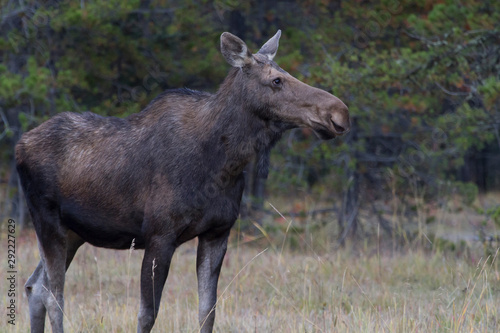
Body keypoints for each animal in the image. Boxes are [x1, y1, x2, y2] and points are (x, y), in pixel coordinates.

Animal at [16, 29, 352, 330]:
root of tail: (19, 145)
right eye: (276, 80)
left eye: (285, 73)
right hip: (47, 221)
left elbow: (208, 312)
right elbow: (147, 315)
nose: (340, 112)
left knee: (35, 286)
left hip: (74, 232)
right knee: (53, 296)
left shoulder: (218, 233)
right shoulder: (159, 236)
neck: (224, 163)